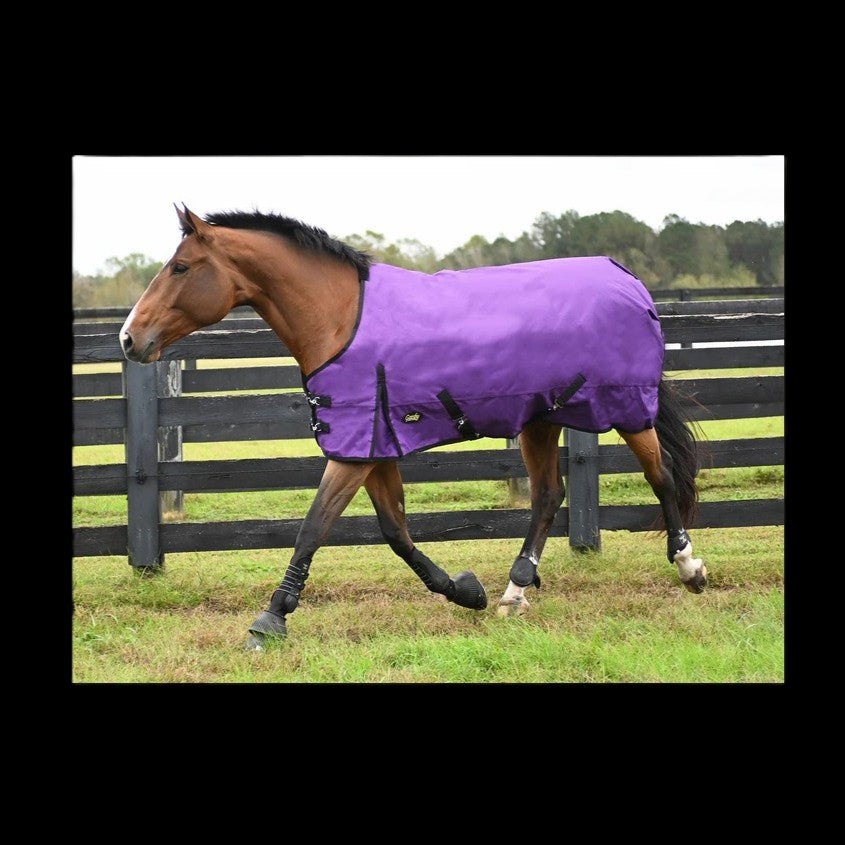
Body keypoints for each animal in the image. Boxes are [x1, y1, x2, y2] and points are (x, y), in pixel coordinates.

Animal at [120, 205, 707, 650]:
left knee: (661, 475)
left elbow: (314, 527)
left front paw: (269, 622)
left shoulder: (352, 450)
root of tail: (628, 279)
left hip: (626, 410)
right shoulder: (372, 446)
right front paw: (465, 591)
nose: (129, 338)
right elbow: (395, 532)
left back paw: (689, 567)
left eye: (180, 267)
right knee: (547, 496)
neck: (341, 319)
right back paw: (513, 593)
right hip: (541, 420)